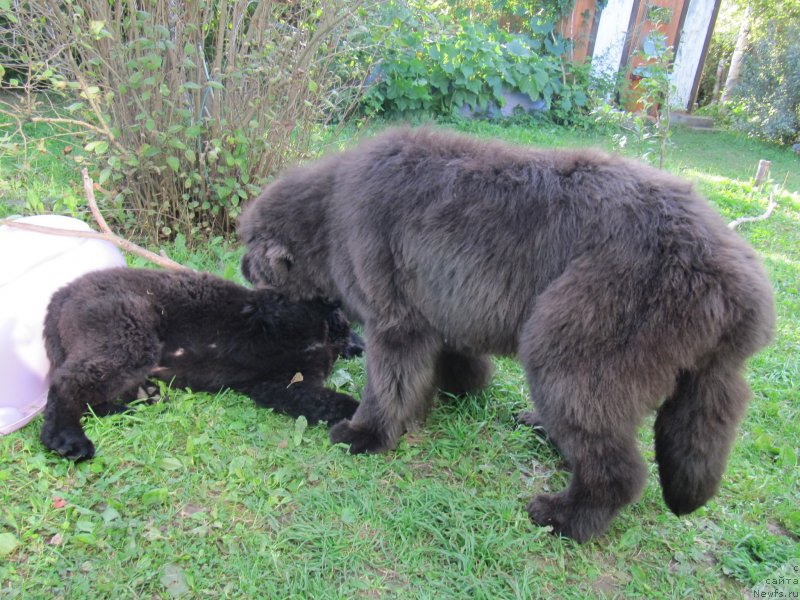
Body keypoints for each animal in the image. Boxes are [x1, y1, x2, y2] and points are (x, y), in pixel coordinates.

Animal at [38, 268, 362, 460]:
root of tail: (62, 294)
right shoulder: (282, 339)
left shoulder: (279, 385)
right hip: (128, 336)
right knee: (67, 384)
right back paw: (68, 438)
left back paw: (143, 396)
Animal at [239, 127, 776, 544]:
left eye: (249, 246)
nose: (242, 267)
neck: (329, 215)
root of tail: (737, 285)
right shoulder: (440, 307)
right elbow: (452, 359)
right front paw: (457, 390)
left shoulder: (395, 319)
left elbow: (387, 383)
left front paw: (365, 433)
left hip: (573, 347)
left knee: (617, 466)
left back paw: (566, 517)